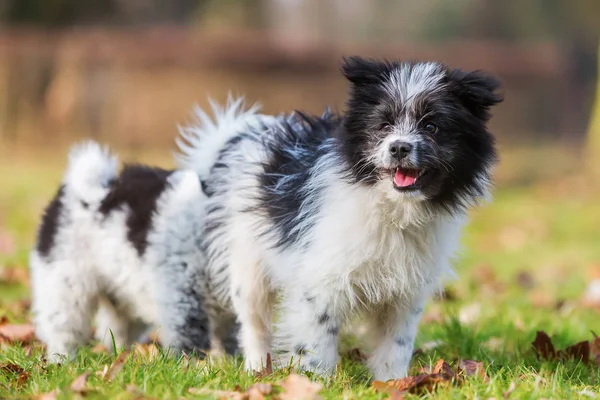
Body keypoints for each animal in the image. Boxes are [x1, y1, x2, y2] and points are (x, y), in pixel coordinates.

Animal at [177, 57, 502, 382]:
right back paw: (257, 368)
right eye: (384, 125)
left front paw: (393, 383)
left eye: (432, 127)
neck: (391, 207)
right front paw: (315, 382)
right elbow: (316, 338)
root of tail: (237, 136)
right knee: (254, 325)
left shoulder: (404, 293)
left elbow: (396, 344)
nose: (399, 147)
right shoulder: (320, 280)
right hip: (247, 267)